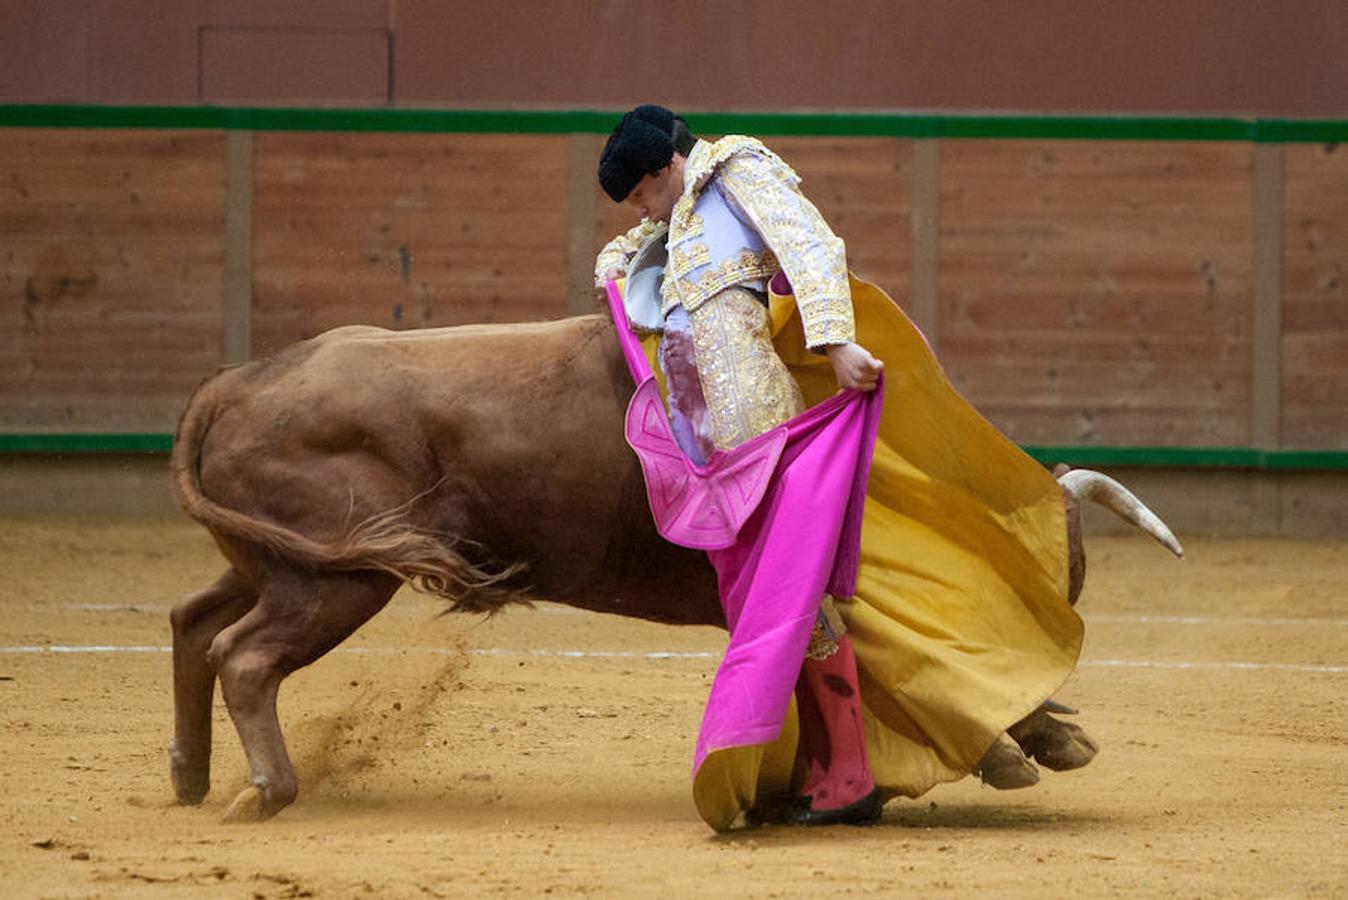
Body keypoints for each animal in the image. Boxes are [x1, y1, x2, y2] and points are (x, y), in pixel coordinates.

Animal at [165, 311, 1180, 824]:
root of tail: (238, 381)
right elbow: (891, 665)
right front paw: (1022, 745)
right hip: (337, 577)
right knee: (244, 656)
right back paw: (265, 792)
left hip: (276, 562)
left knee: (193, 623)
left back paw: (189, 775)